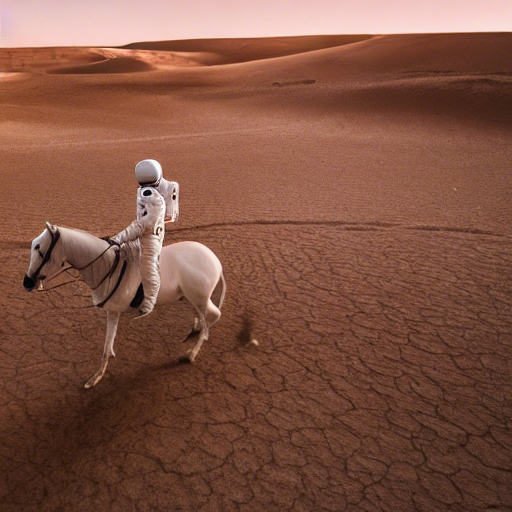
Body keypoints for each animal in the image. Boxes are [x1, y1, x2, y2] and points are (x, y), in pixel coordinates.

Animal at [22, 223, 226, 388]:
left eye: (41, 251)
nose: (27, 282)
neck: (107, 266)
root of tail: (216, 261)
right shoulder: (112, 312)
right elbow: (108, 344)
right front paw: (99, 373)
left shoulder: (113, 311)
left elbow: (106, 346)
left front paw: (95, 378)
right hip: (191, 297)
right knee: (203, 315)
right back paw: (196, 329)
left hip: (199, 297)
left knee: (214, 315)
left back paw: (191, 353)